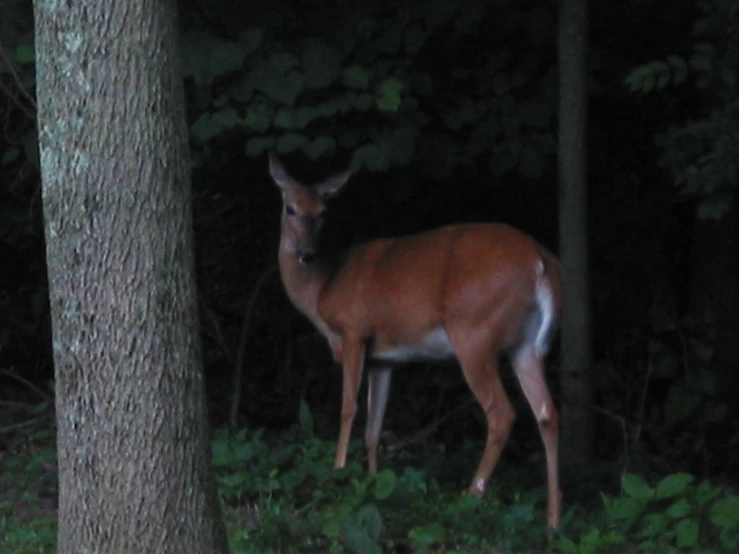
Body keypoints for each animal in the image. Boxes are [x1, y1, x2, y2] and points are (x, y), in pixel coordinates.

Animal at [268, 151, 564, 532]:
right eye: (291, 208)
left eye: (322, 211)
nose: (306, 253)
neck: (322, 288)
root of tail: (541, 263)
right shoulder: (384, 358)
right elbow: (374, 425)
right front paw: (372, 481)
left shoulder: (353, 330)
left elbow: (348, 408)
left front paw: (338, 472)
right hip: (525, 345)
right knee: (547, 413)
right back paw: (553, 519)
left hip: (474, 332)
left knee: (502, 413)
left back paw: (471, 496)